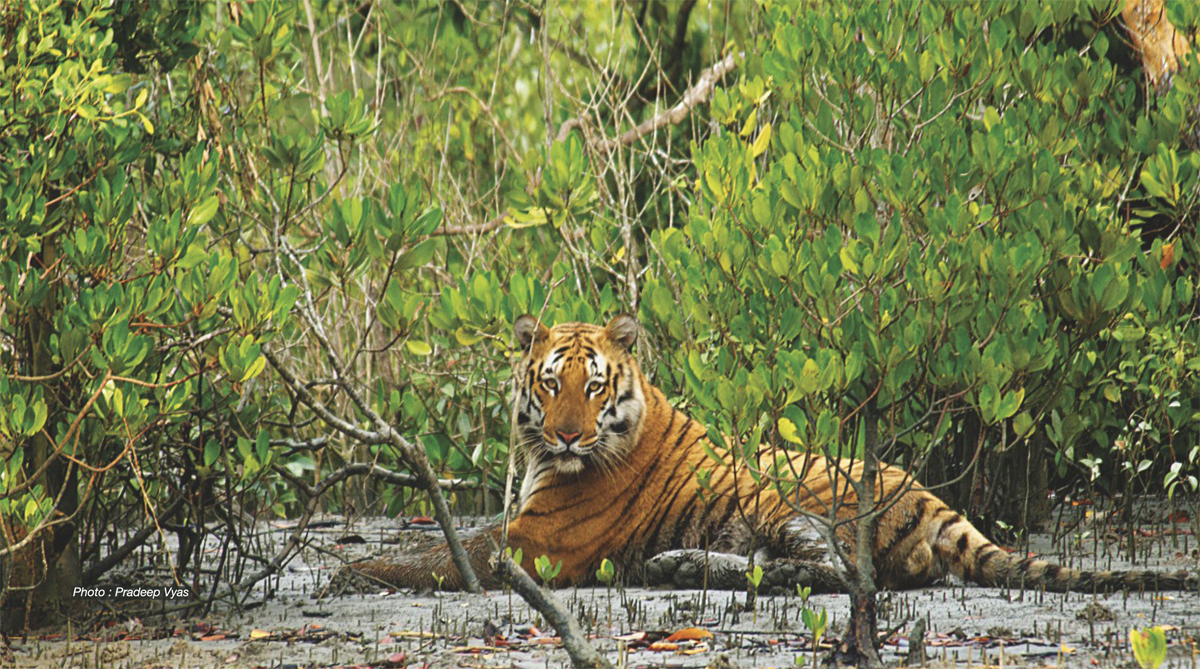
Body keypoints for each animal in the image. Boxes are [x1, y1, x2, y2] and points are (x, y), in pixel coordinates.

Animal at [348, 316, 1200, 594]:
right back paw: (675, 564)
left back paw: (685, 566)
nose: (565, 433)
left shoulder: (538, 543)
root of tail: (936, 500)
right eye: (551, 383)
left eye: (593, 388)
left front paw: (348, 571)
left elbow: (441, 549)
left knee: (841, 575)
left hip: (781, 491)